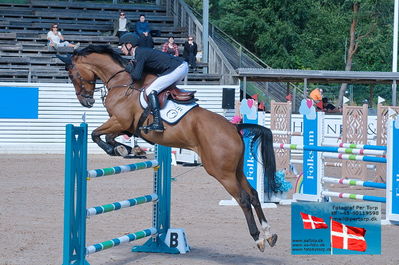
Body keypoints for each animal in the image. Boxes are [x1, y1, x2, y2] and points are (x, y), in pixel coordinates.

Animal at [57, 44, 280, 251]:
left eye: (72, 74)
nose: (86, 101)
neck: (121, 83)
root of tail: (233, 128)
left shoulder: (120, 120)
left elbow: (95, 134)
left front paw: (117, 149)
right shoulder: (125, 126)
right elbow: (110, 137)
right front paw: (124, 149)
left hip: (220, 171)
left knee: (243, 199)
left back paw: (258, 238)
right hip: (235, 169)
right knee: (253, 194)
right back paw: (269, 234)